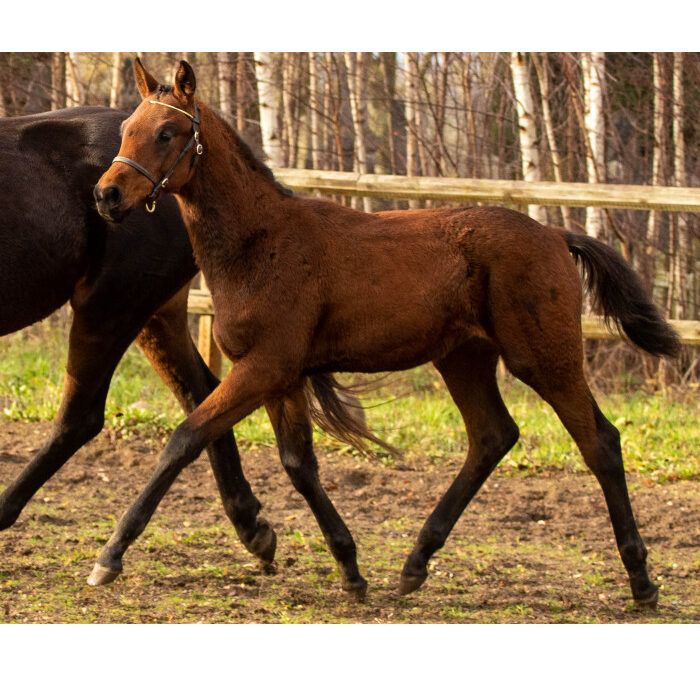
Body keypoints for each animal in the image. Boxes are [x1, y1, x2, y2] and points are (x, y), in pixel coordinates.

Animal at [94, 59, 680, 608]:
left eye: (167, 131)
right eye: (127, 127)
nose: (107, 195)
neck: (259, 242)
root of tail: (555, 235)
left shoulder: (264, 368)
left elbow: (185, 438)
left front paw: (110, 556)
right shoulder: (283, 377)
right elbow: (299, 465)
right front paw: (350, 569)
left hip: (545, 358)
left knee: (599, 442)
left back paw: (641, 580)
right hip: (464, 358)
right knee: (492, 436)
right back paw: (416, 562)